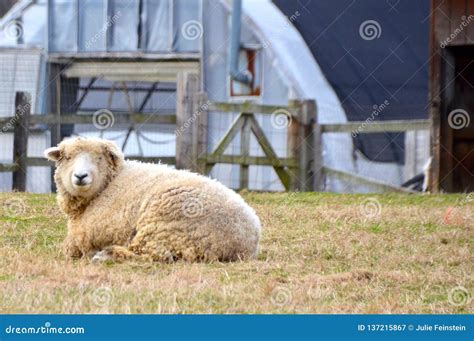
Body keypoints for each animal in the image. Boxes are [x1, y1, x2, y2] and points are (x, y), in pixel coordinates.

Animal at [43, 137, 262, 262]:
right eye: (68, 157)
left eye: (99, 158)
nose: (80, 176)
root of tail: (246, 241)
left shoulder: (87, 236)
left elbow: (69, 248)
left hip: (164, 226)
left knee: (155, 256)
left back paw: (106, 255)